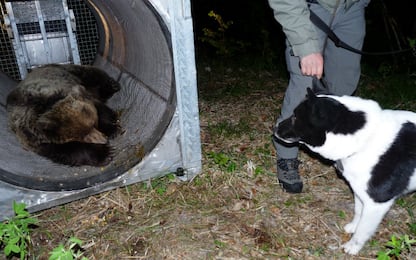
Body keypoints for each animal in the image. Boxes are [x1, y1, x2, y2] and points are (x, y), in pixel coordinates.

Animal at [272, 78, 416, 254]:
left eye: (295, 117)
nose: (275, 128)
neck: (366, 139)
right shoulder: (361, 192)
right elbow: (358, 212)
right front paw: (353, 227)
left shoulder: (377, 203)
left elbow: (363, 229)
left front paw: (353, 246)